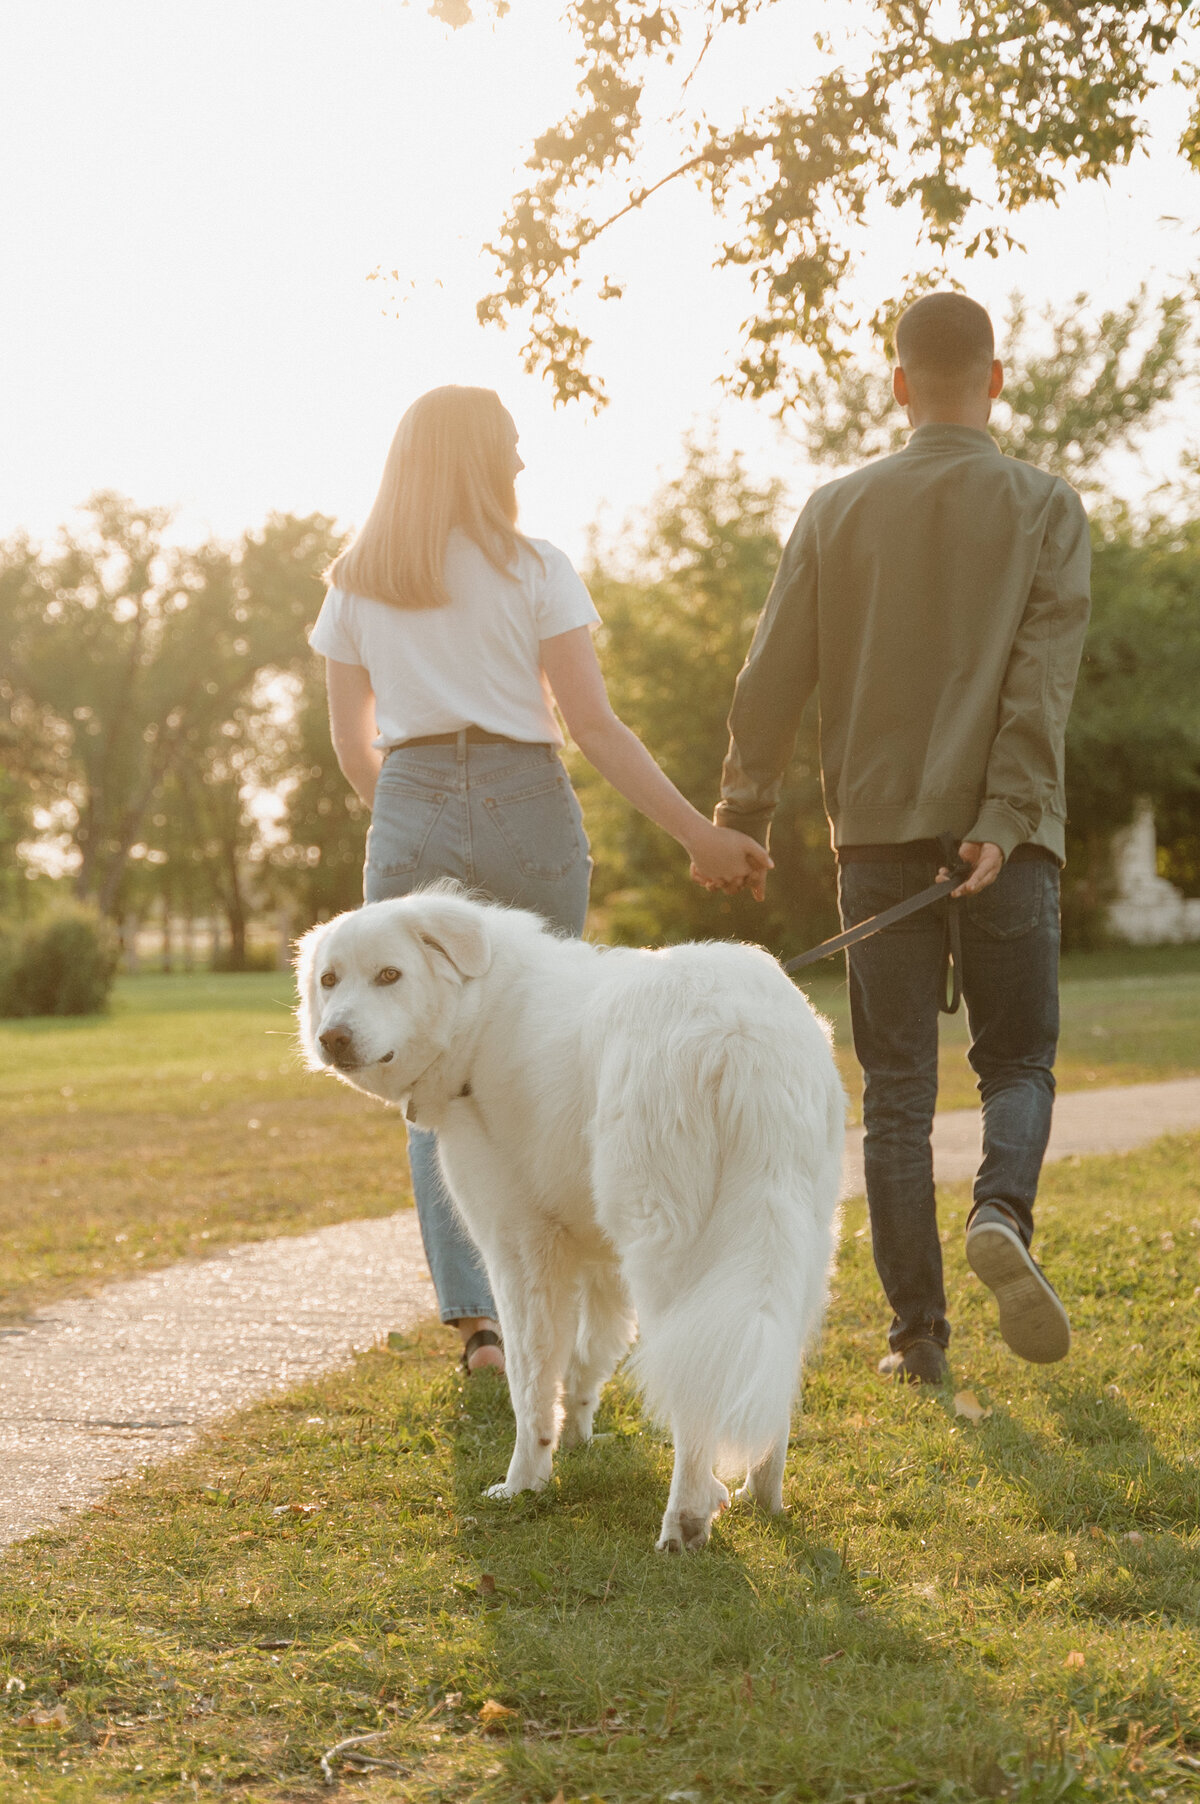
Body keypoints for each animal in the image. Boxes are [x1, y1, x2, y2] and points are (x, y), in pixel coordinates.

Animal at [295, 891, 840, 1551]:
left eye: (389, 975)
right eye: (329, 980)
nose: (332, 1038)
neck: (481, 1017)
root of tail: (741, 1032)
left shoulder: (519, 1249)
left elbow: (530, 1380)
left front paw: (525, 1482)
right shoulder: (601, 1261)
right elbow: (588, 1356)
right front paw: (582, 1440)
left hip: (670, 1253)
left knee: (695, 1388)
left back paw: (684, 1519)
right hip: (796, 1251)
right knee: (767, 1372)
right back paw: (764, 1496)